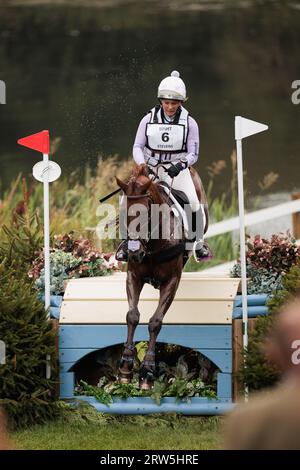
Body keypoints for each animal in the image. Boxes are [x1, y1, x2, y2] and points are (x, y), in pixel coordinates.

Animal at [116, 163, 207, 388]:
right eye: (123, 213)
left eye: (146, 214)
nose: (134, 252)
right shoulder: (134, 277)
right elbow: (132, 316)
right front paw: (126, 366)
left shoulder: (171, 282)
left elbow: (155, 322)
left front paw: (147, 370)